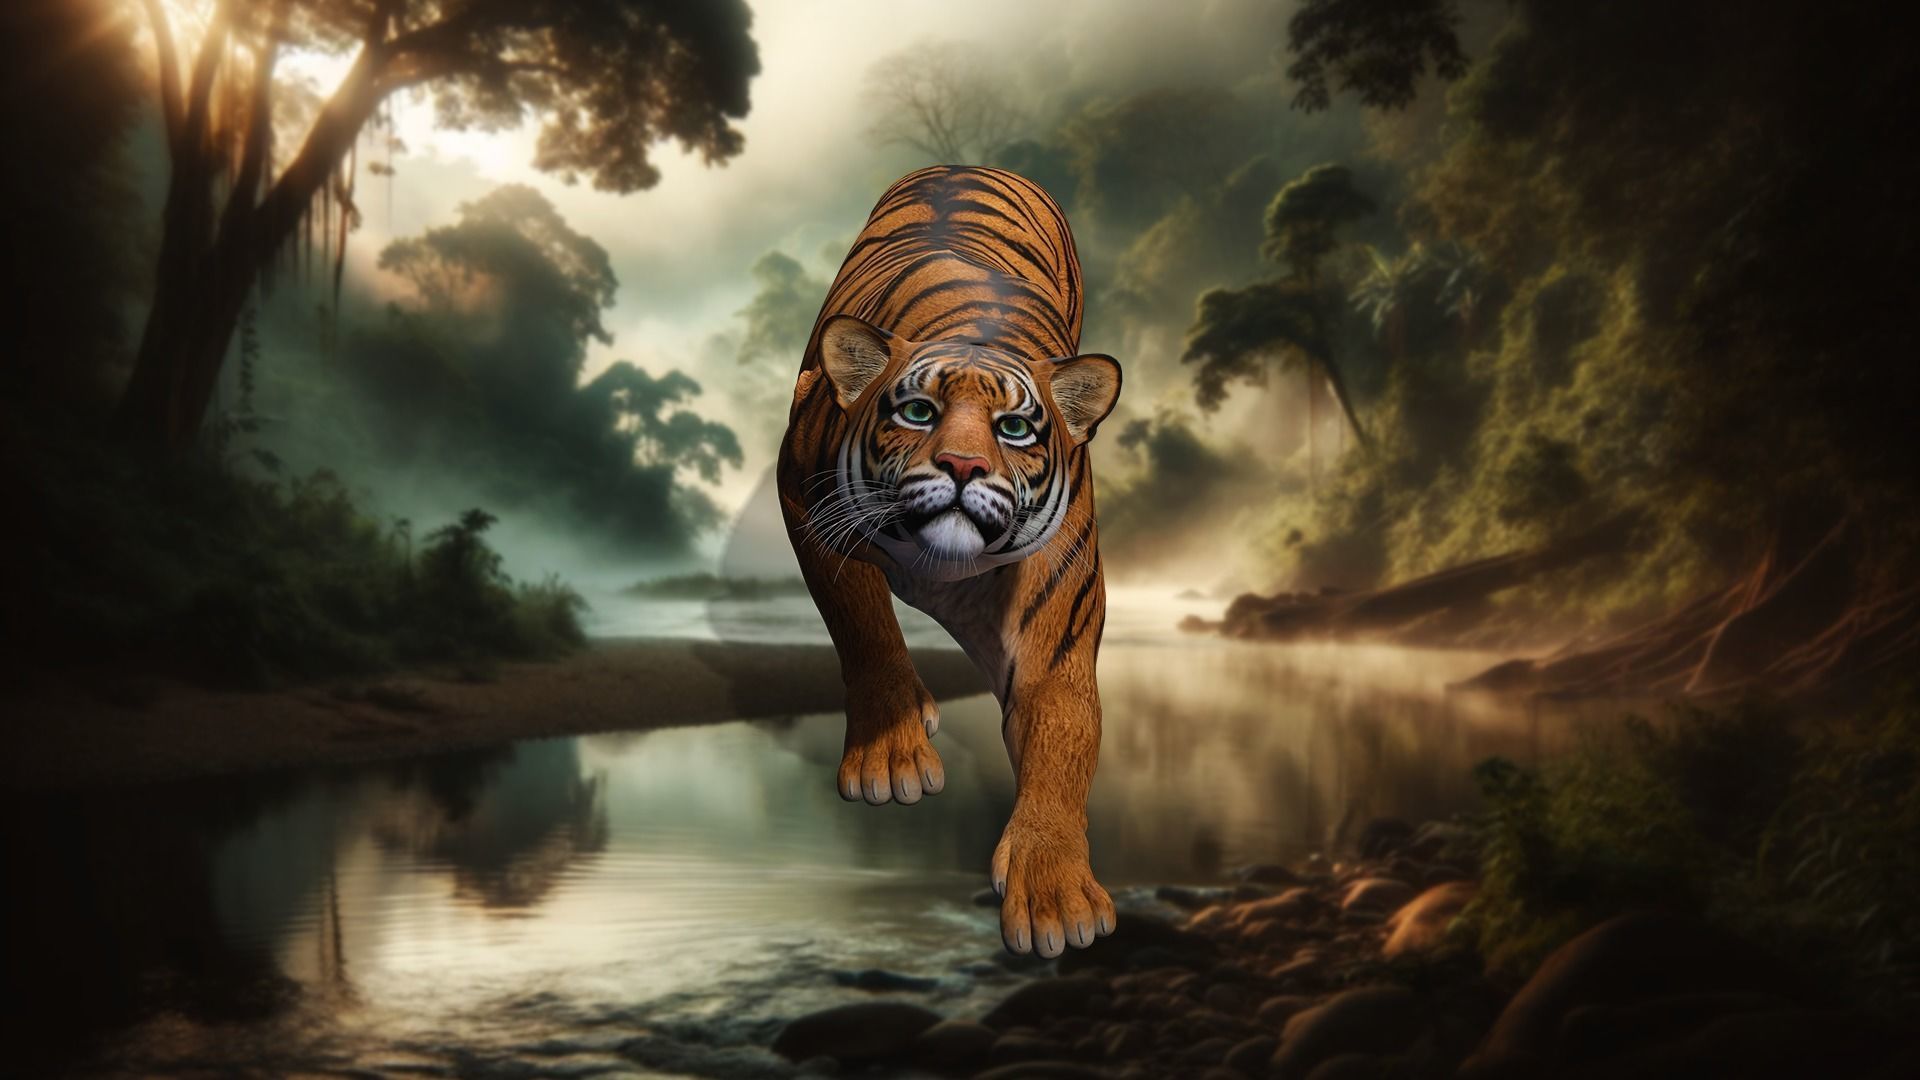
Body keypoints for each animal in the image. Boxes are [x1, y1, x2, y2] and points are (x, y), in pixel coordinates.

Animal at [777, 165, 1123, 958]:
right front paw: (889, 757)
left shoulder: (1055, 633)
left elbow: (1063, 738)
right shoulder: (810, 505)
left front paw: (1056, 893)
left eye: (1015, 427)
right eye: (918, 413)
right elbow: (864, 624)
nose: (963, 466)